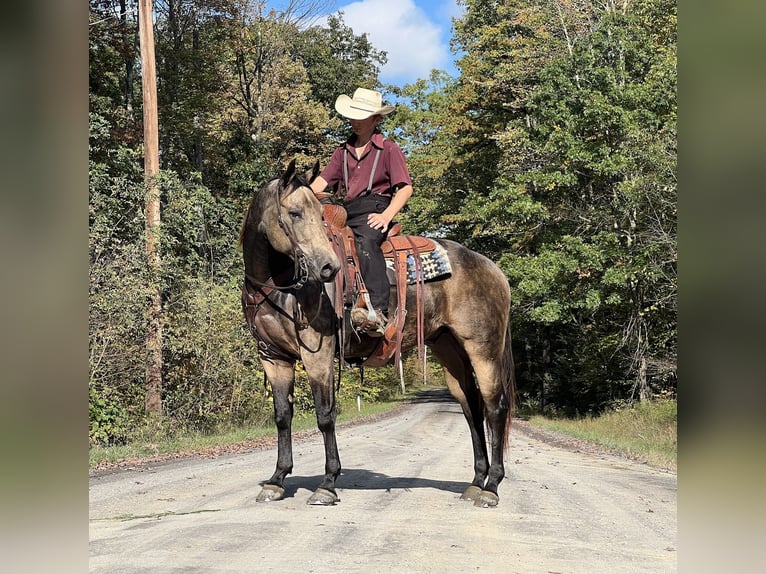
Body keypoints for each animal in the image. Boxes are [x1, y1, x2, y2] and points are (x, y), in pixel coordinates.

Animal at [240, 160, 516, 510]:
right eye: (294, 213)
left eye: (316, 214)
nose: (328, 268)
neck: (278, 285)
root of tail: (494, 270)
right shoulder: (273, 357)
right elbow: (282, 416)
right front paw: (276, 480)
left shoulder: (317, 353)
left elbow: (325, 415)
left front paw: (327, 484)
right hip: (450, 351)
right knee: (471, 409)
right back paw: (476, 482)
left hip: (483, 349)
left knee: (495, 407)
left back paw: (491, 487)